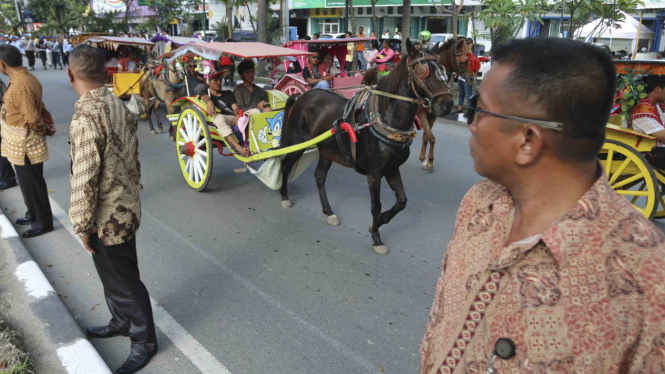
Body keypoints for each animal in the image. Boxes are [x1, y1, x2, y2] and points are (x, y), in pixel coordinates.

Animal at [278, 39, 448, 256]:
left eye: (442, 69)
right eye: (421, 71)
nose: (448, 103)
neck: (386, 118)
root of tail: (301, 97)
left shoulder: (392, 168)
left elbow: (402, 201)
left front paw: (377, 223)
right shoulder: (374, 173)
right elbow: (376, 205)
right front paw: (376, 238)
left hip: (327, 150)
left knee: (319, 176)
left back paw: (328, 212)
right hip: (298, 142)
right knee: (285, 165)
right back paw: (284, 196)